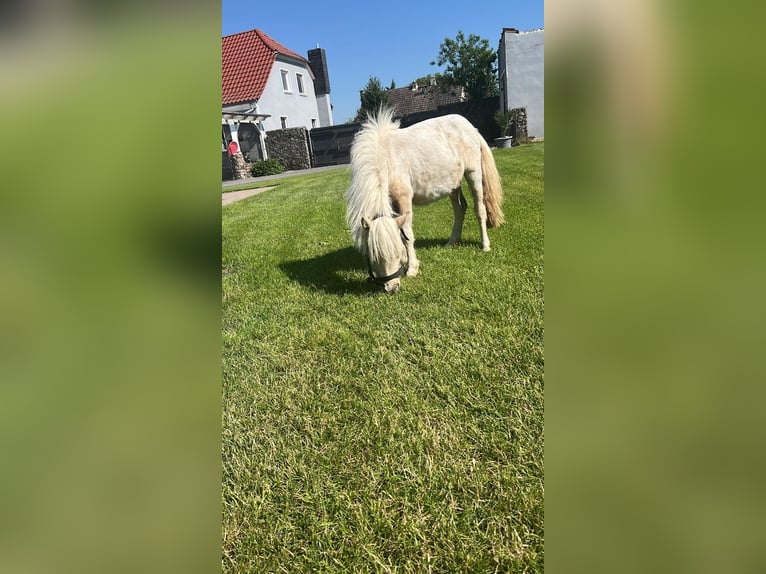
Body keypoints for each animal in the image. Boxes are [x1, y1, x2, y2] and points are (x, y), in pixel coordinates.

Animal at [346, 109, 504, 292]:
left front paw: (412, 267)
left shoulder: (403, 198)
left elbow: (407, 234)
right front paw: (407, 260)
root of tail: (471, 128)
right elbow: (400, 232)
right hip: (452, 184)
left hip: (474, 174)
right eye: (373, 256)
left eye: (395, 254)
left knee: (480, 209)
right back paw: (451, 242)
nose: (392, 287)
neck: (384, 160)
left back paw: (485, 245)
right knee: (460, 208)